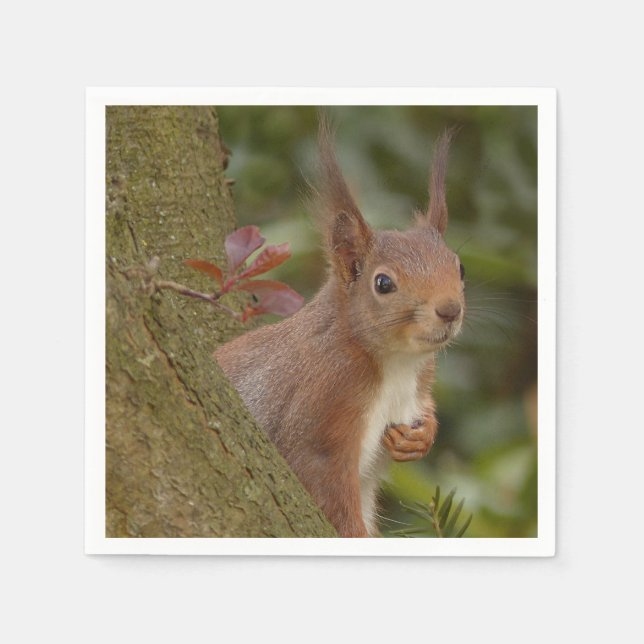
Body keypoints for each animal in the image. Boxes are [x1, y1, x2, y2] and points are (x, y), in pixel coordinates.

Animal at [215, 119, 465, 537]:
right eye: (383, 283)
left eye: (460, 267)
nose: (450, 310)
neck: (397, 363)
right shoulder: (324, 403)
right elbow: (323, 484)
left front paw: (420, 436)